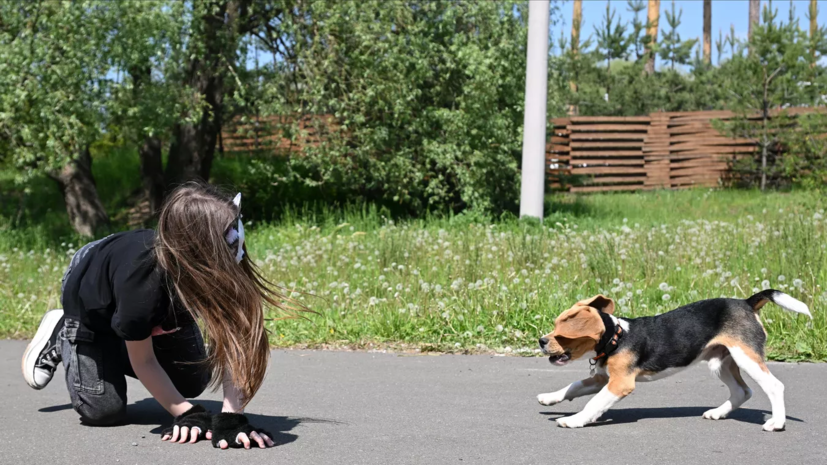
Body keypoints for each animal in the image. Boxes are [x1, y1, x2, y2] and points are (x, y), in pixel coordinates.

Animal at [540, 288, 812, 430]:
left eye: (561, 334)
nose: (541, 341)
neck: (616, 338)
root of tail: (746, 303)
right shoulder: (601, 379)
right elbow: (573, 386)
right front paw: (549, 398)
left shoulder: (619, 383)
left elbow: (593, 403)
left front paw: (574, 420)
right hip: (720, 362)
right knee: (742, 391)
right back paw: (718, 413)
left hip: (745, 356)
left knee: (774, 386)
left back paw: (776, 423)